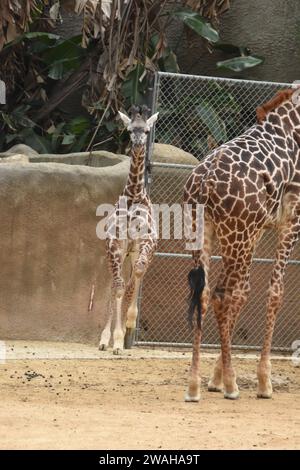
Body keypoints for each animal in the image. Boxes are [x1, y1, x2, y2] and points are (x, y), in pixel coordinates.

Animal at [184, 87, 300, 400]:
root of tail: (204, 183)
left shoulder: (259, 228)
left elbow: (246, 291)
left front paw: (215, 378)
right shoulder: (292, 220)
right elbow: (275, 292)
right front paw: (264, 382)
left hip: (207, 231)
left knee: (206, 292)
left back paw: (195, 385)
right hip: (237, 234)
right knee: (224, 294)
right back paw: (232, 386)